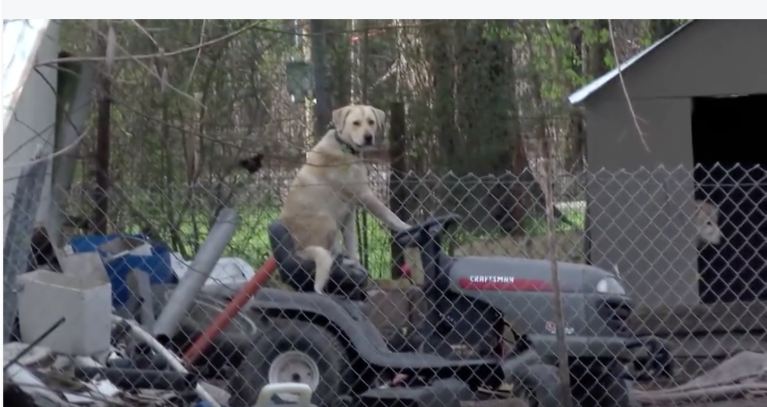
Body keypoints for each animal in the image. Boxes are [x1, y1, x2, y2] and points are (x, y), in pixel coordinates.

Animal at [282, 104, 414, 294]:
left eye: (371, 122)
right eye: (356, 123)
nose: (368, 137)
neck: (344, 147)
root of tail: (297, 251)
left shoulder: (349, 215)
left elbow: (352, 246)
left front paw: (357, 266)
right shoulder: (365, 196)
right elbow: (390, 216)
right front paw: (407, 228)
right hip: (327, 221)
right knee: (326, 254)